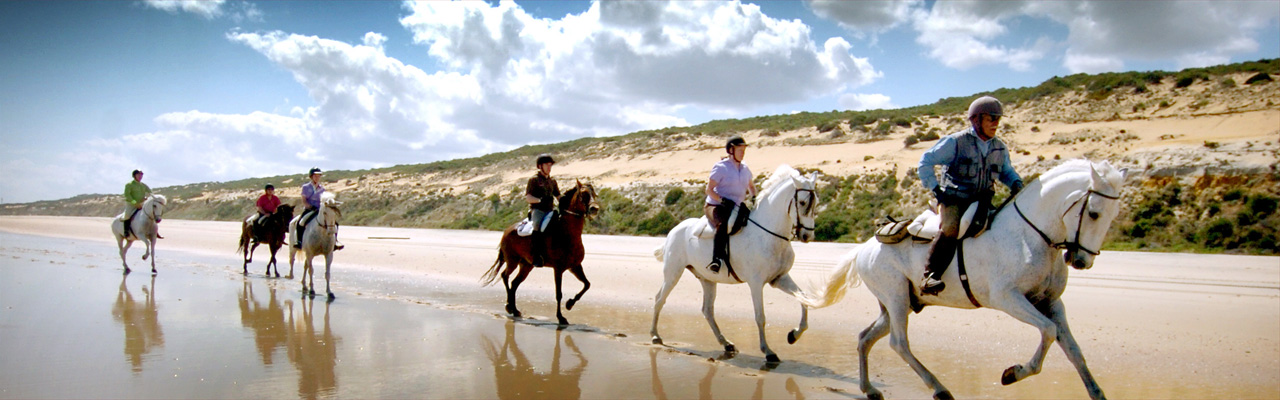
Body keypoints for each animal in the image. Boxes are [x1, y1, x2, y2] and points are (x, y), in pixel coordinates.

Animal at [481, 180, 599, 325]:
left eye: (594, 193)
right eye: (584, 194)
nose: (595, 209)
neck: (566, 233)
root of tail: (507, 230)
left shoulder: (575, 266)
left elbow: (587, 284)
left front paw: (570, 304)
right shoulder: (558, 269)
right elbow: (559, 294)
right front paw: (561, 317)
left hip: (526, 265)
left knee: (514, 283)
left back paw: (515, 309)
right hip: (512, 261)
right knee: (505, 276)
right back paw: (509, 307)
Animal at [650, 164, 819, 364]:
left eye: (816, 203)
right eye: (802, 202)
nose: (807, 236)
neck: (769, 234)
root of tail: (675, 229)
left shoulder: (779, 278)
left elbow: (804, 298)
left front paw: (793, 335)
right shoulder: (756, 284)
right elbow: (760, 317)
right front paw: (768, 351)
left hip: (707, 279)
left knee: (707, 310)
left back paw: (726, 343)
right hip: (673, 273)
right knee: (659, 299)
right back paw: (655, 335)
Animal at [803, 159, 1126, 400]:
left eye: (1113, 215)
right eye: (1094, 213)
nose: (1082, 260)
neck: (1029, 235)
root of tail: (865, 247)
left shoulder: (1051, 303)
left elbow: (1073, 350)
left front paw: (1097, 392)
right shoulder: (1009, 299)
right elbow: (1047, 331)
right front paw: (1013, 373)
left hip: (901, 304)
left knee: (865, 338)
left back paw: (869, 389)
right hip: (896, 299)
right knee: (899, 343)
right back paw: (939, 388)